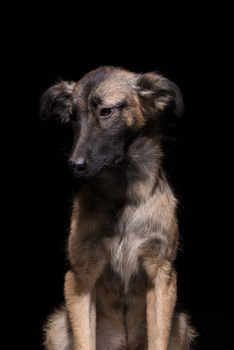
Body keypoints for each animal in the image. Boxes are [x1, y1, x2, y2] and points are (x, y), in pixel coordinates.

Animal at [39, 66, 196, 350]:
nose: (74, 165)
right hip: (57, 327)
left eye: (106, 111)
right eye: (73, 118)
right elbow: (84, 341)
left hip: (180, 325)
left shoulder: (161, 276)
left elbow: (158, 338)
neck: (124, 198)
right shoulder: (80, 278)